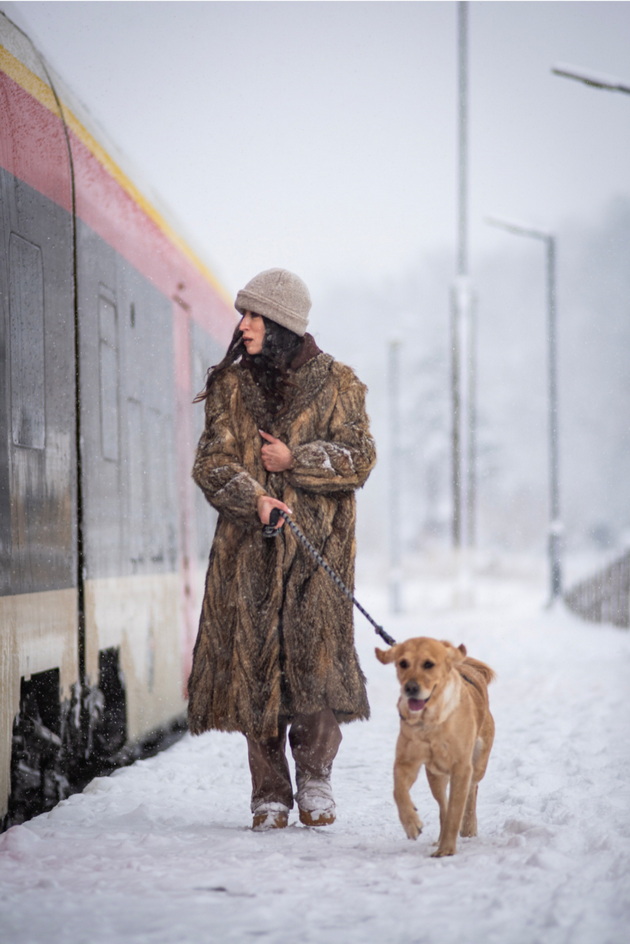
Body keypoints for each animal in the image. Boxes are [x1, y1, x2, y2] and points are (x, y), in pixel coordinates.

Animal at [378, 636, 496, 860]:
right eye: (403, 663)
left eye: (428, 664)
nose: (410, 688)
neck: (430, 722)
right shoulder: (406, 762)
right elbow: (398, 792)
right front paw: (411, 823)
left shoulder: (462, 767)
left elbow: (456, 809)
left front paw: (447, 849)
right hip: (435, 775)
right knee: (443, 805)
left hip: (479, 763)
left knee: (471, 791)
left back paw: (468, 826)